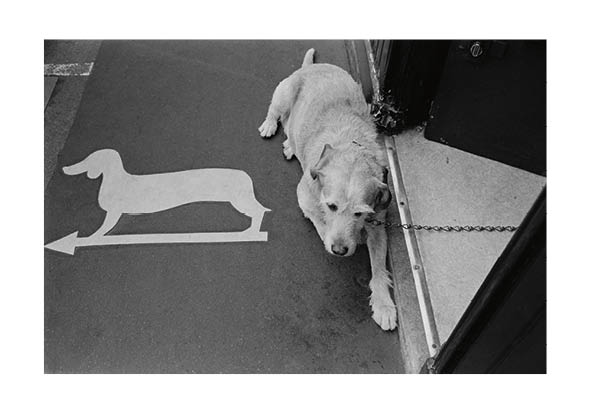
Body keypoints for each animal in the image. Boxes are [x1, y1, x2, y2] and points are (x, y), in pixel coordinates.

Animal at [62, 149, 270, 238]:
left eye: (90, 159)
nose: (65, 168)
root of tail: (244, 175)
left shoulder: (114, 212)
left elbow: (103, 228)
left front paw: (91, 237)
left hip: (239, 200)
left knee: (258, 212)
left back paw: (251, 232)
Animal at [260, 48, 398, 330]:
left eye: (360, 213)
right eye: (332, 206)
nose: (340, 250)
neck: (350, 146)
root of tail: (312, 66)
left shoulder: (378, 222)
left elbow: (379, 266)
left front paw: (383, 303)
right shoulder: (305, 197)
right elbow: (320, 221)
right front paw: (328, 235)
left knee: (290, 123)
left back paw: (290, 143)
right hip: (283, 93)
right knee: (277, 112)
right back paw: (271, 126)